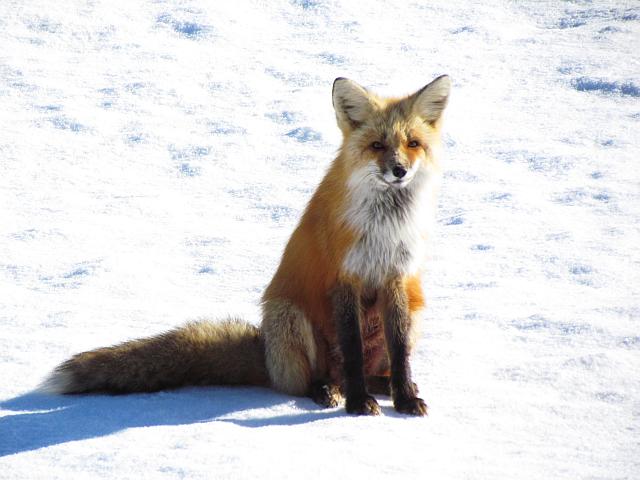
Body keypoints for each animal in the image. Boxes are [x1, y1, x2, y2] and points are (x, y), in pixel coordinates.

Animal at [41, 75, 450, 416]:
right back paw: (329, 390)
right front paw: (356, 403)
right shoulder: (344, 278)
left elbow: (400, 353)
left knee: (376, 367)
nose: (399, 170)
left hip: (417, 309)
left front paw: (404, 398)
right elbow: (351, 351)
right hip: (289, 315)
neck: (384, 228)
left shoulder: (397, 277)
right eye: (377, 145)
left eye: (413, 144)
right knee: (311, 379)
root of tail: (267, 355)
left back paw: (383, 386)